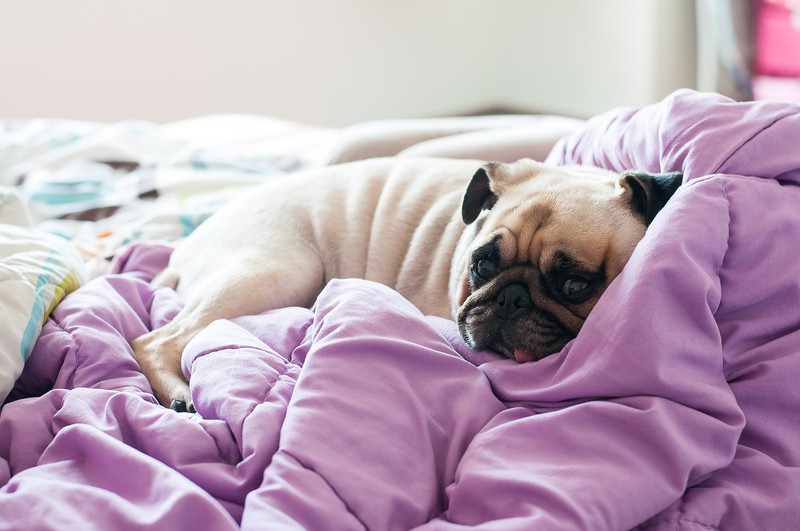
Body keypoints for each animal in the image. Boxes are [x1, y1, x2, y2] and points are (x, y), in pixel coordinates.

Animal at [133, 158, 680, 412]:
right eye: (482, 265)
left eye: (574, 285)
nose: (511, 297)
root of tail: (184, 249)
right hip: (282, 269)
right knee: (153, 340)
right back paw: (179, 394)